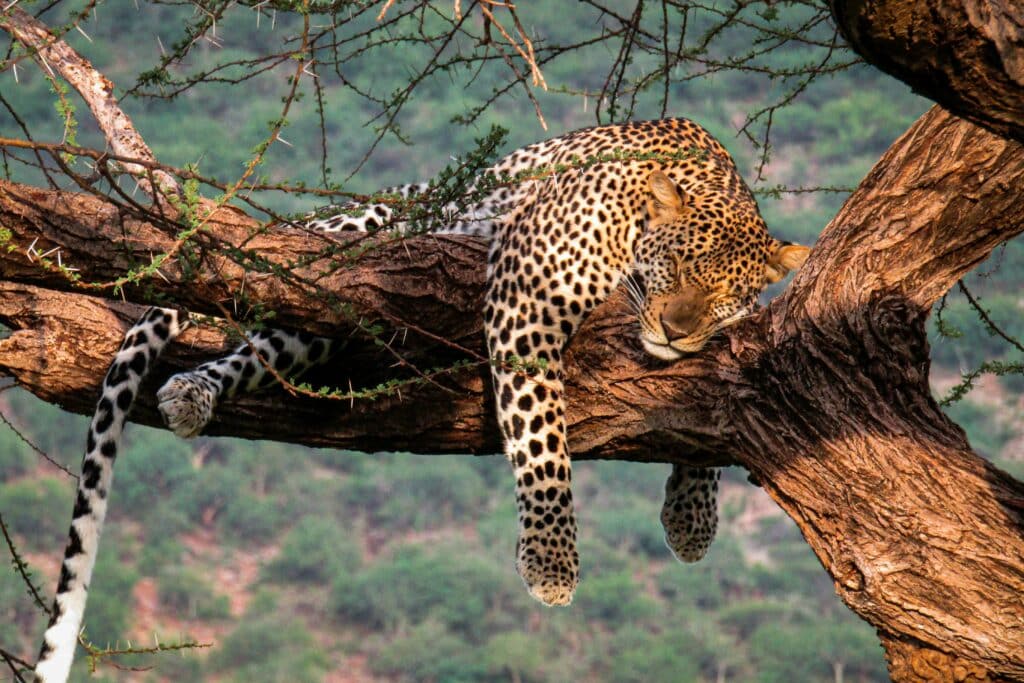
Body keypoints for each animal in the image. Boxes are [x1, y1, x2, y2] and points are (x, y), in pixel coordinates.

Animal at [34, 118, 806, 683]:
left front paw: (692, 515)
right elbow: (543, 439)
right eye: (675, 264)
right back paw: (194, 386)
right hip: (352, 255)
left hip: (324, 323)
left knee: (272, 345)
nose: (676, 328)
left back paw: (195, 391)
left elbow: (705, 417)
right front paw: (552, 561)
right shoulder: (528, 298)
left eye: (725, 294)